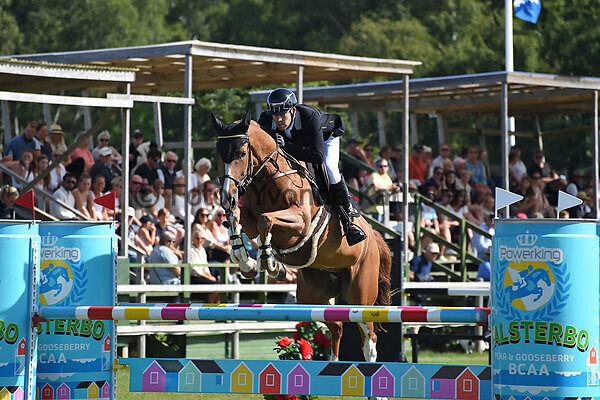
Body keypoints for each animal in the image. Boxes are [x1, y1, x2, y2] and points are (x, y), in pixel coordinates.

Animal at [212, 111, 394, 364]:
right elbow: (238, 220)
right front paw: (247, 262)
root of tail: (375, 238)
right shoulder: (247, 216)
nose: (226, 198)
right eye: (218, 154)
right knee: (336, 326)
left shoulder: (301, 221)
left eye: (241, 153)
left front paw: (270, 263)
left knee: (369, 338)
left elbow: (265, 220)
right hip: (313, 294)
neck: (269, 177)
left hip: (361, 293)